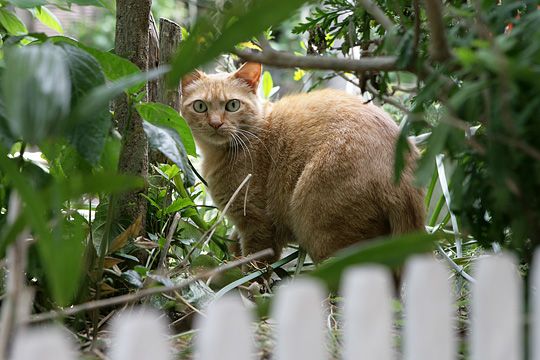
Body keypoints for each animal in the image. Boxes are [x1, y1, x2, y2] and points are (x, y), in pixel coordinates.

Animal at [181, 63, 426, 262]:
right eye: (200, 106)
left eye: (232, 105)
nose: (215, 123)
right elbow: (234, 250)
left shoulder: (258, 225)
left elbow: (252, 268)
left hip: (323, 232)